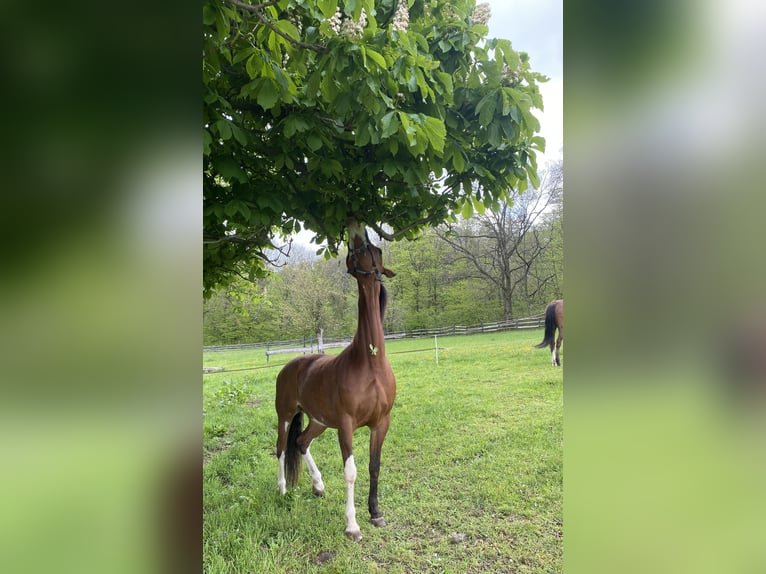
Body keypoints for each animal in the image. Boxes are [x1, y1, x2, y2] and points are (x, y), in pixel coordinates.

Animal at [274, 220, 397, 541]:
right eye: (359, 250)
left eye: (375, 249)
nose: (355, 225)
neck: (370, 363)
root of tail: (292, 365)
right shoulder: (346, 425)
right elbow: (351, 472)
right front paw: (352, 525)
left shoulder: (381, 423)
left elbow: (374, 466)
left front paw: (376, 513)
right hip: (286, 415)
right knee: (281, 447)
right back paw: (282, 490)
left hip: (318, 421)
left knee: (301, 443)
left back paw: (318, 486)